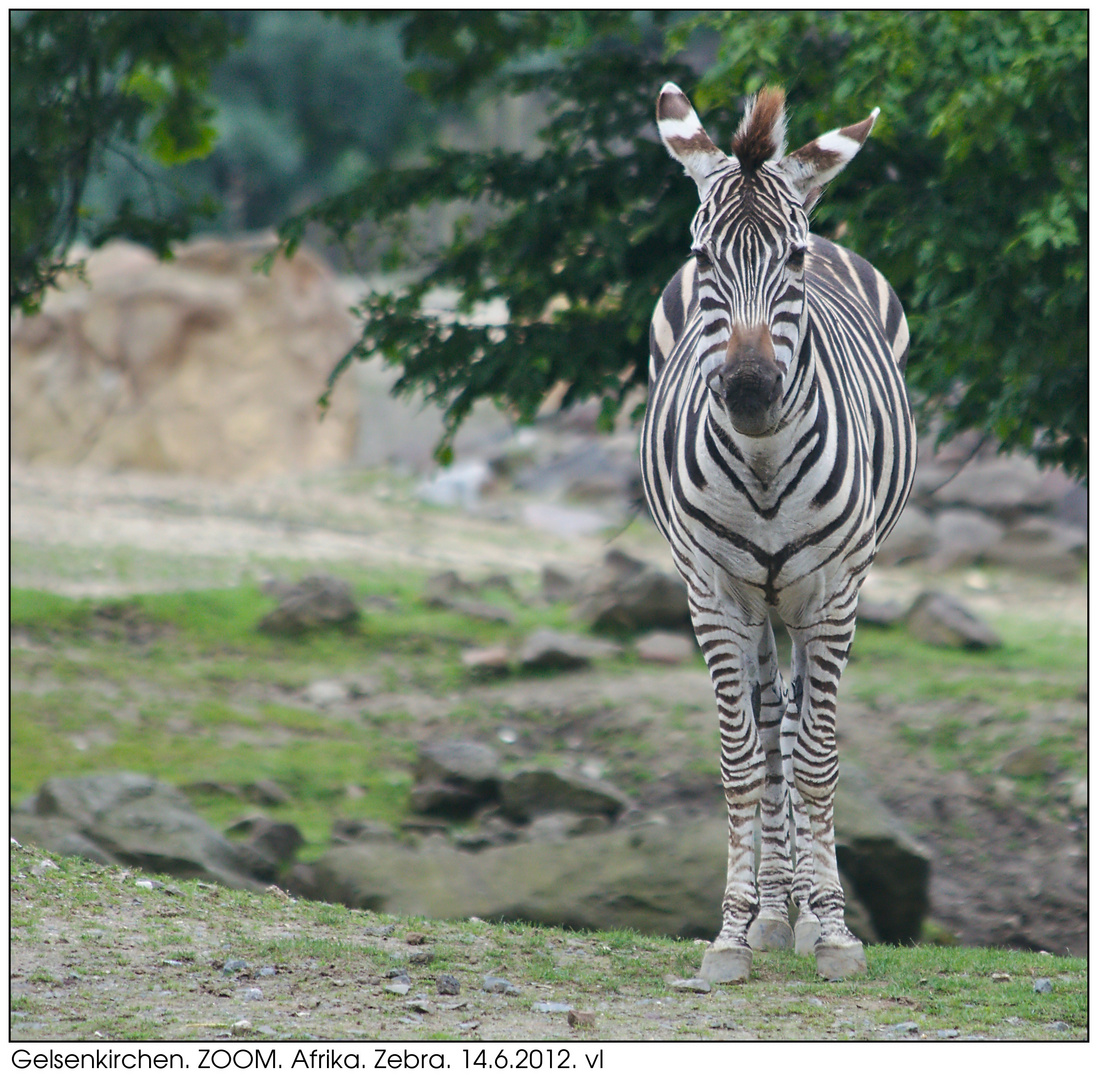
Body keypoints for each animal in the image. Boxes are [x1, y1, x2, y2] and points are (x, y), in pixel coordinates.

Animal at [641, 80, 917, 983]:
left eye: (790, 263)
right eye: (704, 261)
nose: (752, 392)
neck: (762, 462)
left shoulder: (832, 598)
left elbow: (818, 759)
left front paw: (831, 930)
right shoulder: (712, 597)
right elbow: (741, 763)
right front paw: (732, 933)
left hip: (813, 592)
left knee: (794, 727)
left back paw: (797, 912)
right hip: (757, 600)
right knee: (769, 727)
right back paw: (769, 914)